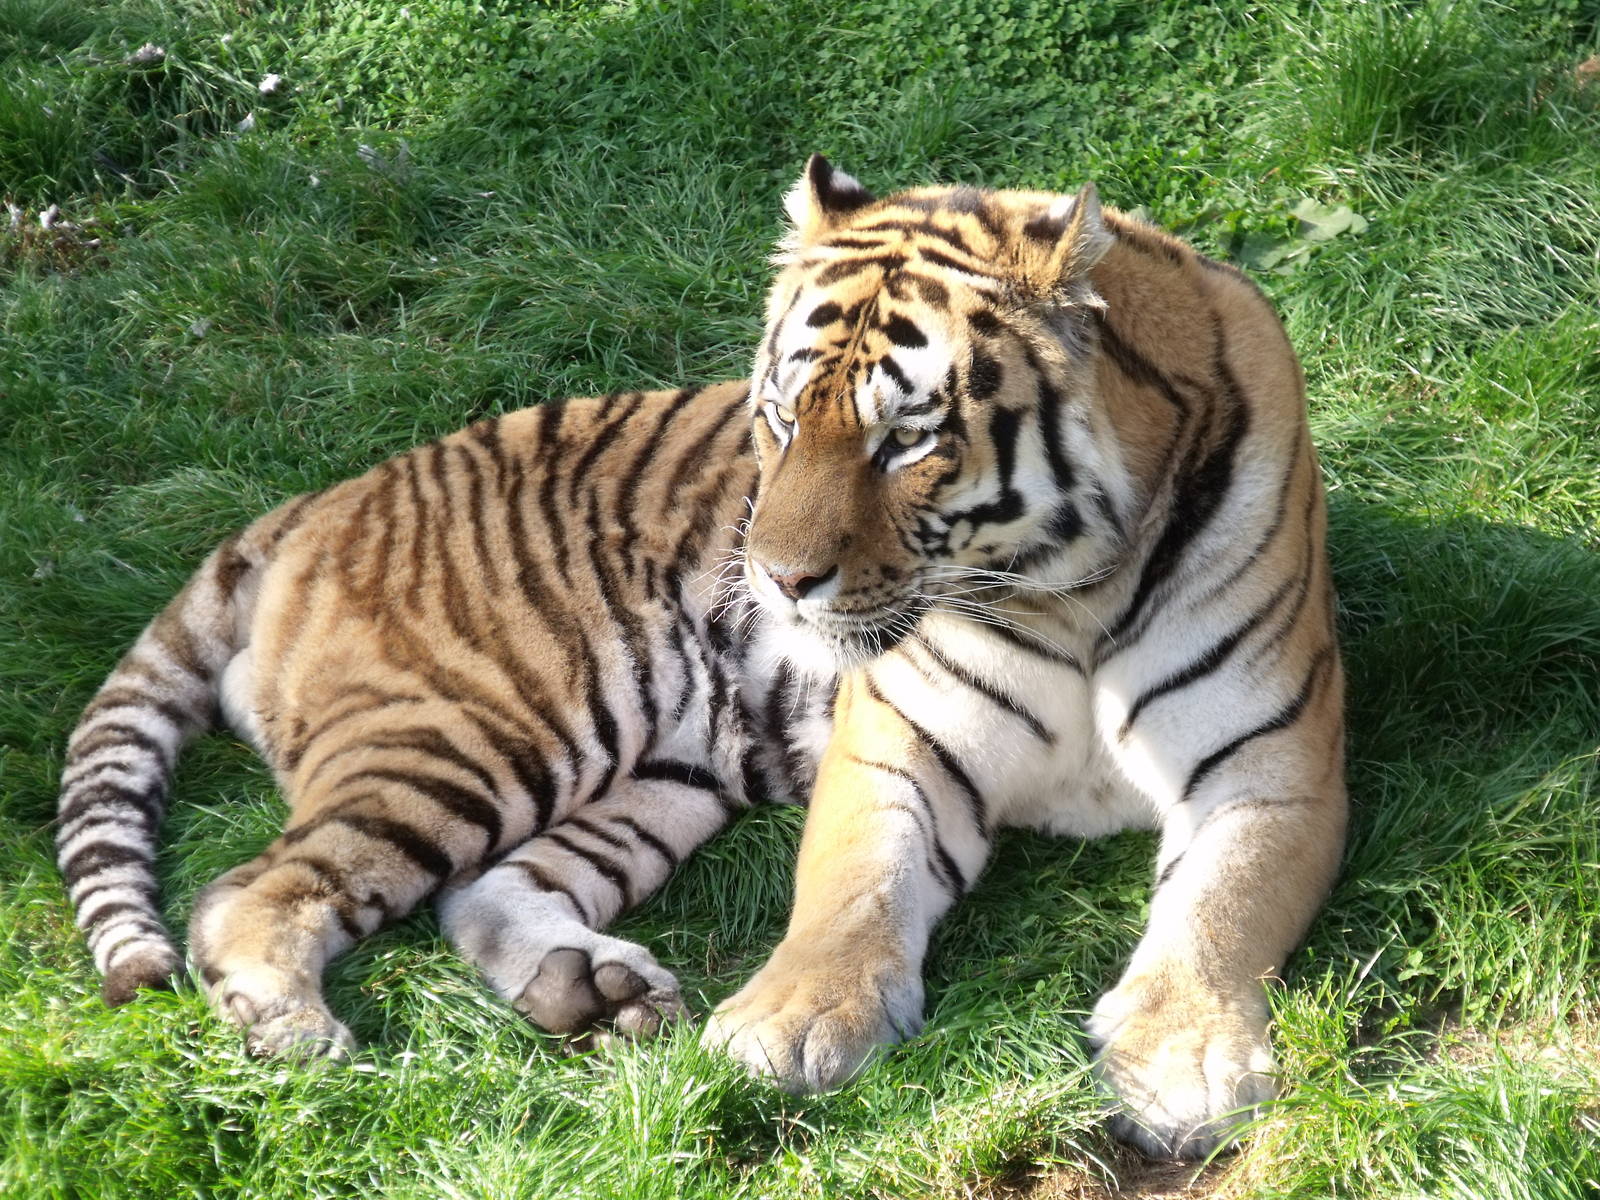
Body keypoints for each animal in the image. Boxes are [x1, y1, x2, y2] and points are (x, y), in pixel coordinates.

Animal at [57, 154, 1344, 1161]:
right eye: (779, 416)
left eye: (905, 438)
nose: (775, 579)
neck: (1063, 588)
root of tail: (314, 502)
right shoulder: (895, 749)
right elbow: (850, 892)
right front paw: (785, 1028)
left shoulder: (1270, 767)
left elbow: (1219, 911)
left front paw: (1184, 1063)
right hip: (486, 726)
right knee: (250, 890)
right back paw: (299, 1034)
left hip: (659, 774)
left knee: (474, 890)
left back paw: (590, 990)